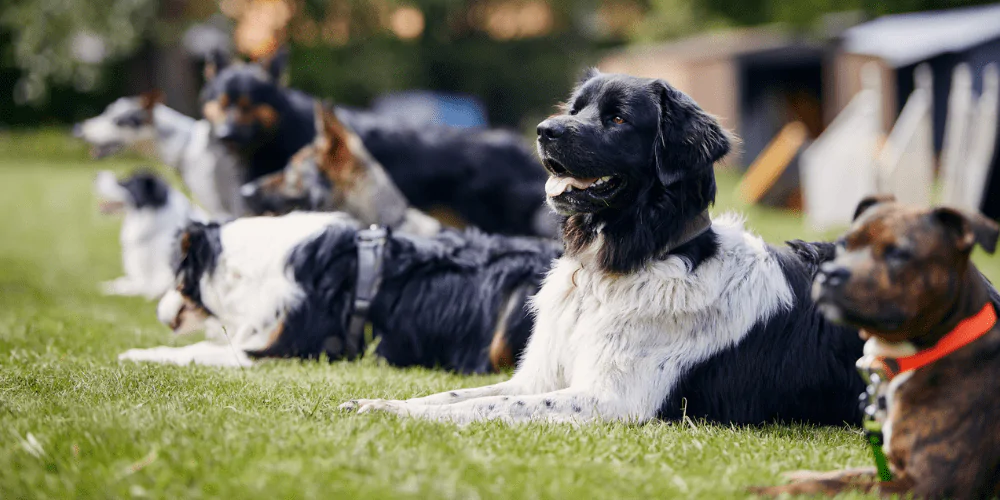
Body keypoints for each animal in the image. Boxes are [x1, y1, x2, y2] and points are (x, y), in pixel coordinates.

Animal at [338, 70, 868, 424]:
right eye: (576, 110)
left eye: (616, 119)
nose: (544, 131)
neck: (614, 267)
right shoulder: (538, 377)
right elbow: (456, 396)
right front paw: (380, 403)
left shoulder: (612, 400)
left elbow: (492, 405)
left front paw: (397, 414)